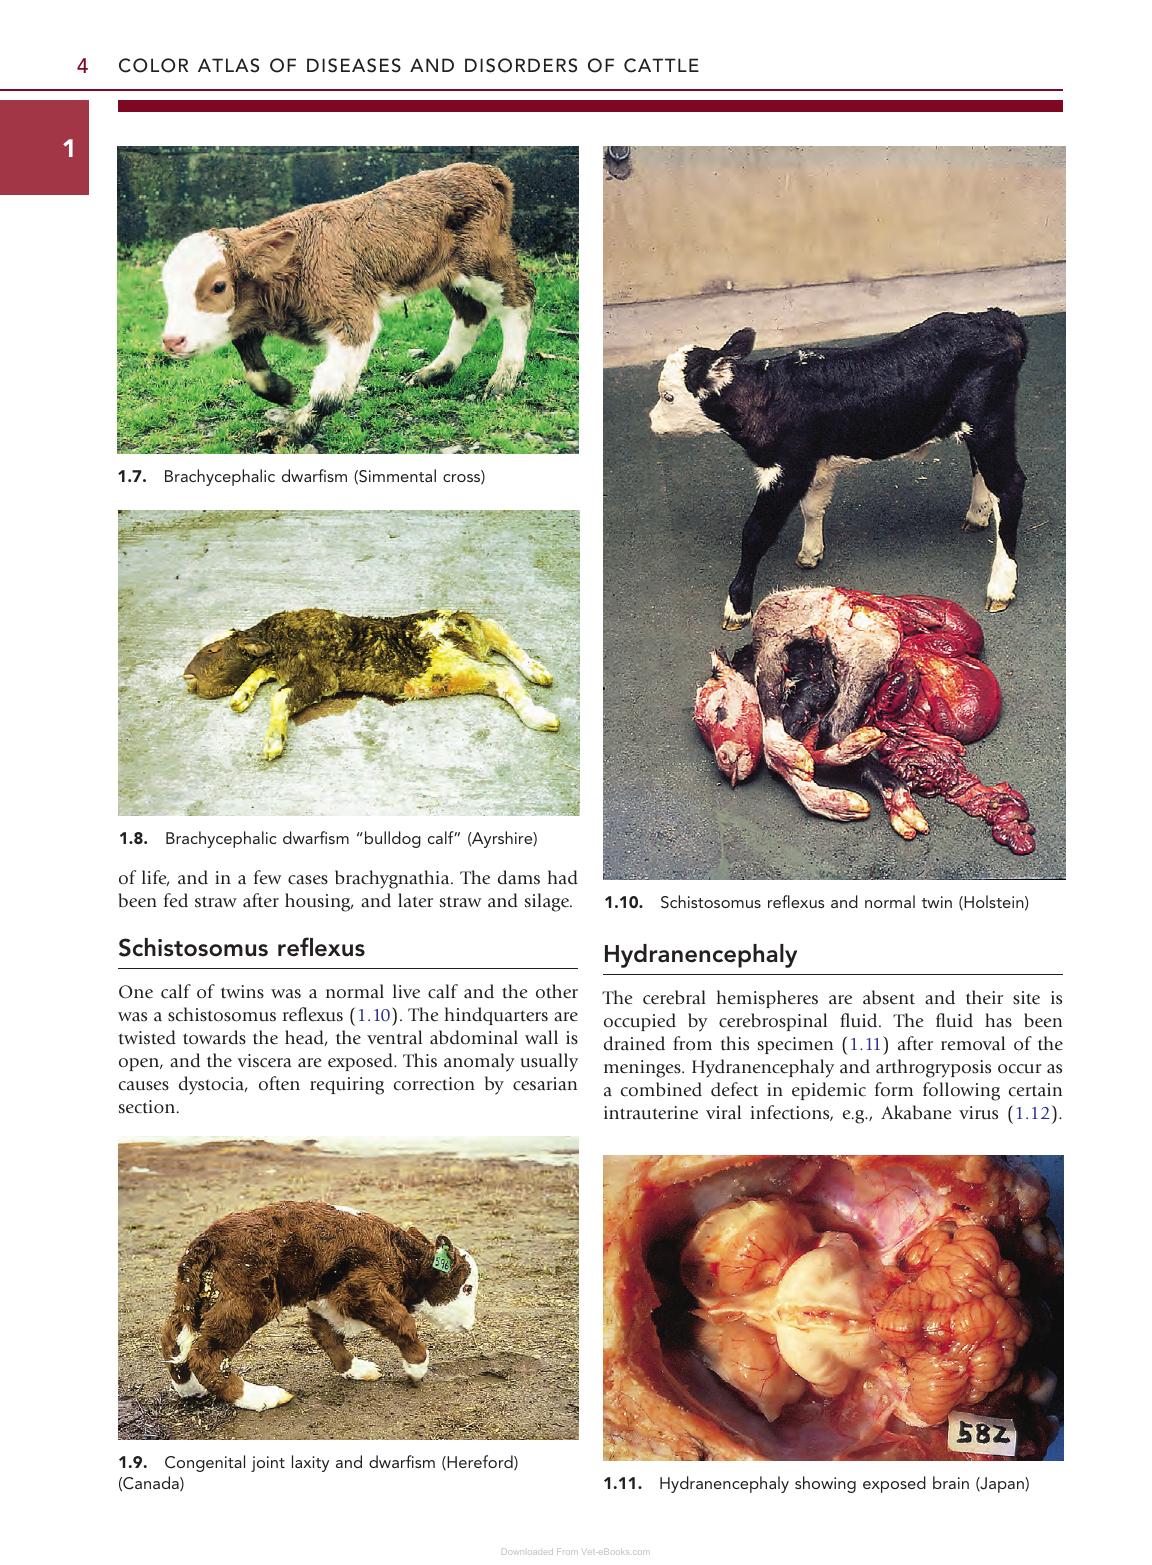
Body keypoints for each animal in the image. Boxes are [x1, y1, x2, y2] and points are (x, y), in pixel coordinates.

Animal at [160, 162, 535, 448]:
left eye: (218, 286)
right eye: (167, 288)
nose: (172, 341)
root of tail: (484, 170)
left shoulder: (353, 317)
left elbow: (329, 393)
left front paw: (293, 431)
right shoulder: (251, 316)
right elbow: (254, 373)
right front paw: (282, 392)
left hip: (484, 263)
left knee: (520, 298)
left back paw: (503, 378)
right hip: (449, 273)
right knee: (472, 313)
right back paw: (436, 371)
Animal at [161, 1202, 478, 1410]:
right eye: (467, 1287)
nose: (470, 1325)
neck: (401, 1255)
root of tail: (208, 1238)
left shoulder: (326, 1299)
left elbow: (326, 1334)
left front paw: (355, 1369)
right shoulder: (359, 1289)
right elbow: (403, 1321)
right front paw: (416, 1367)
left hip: (198, 1298)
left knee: (173, 1337)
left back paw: (189, 1388)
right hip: (249, 1301)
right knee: (205, 1354)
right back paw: (261, 1397)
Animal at [648, 310, 1029, 626]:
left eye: (668, 396)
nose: (651, 421)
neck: (766, 395)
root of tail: (995, 318)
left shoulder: (787, 470)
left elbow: (756, 532)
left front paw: (737, 606)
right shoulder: (816, 466)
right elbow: (814, 507)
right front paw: (810, 552)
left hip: (990, 426)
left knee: (1010, 485)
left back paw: (1000, 585)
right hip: (978, 430)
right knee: (983, 473)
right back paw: (977, 515)